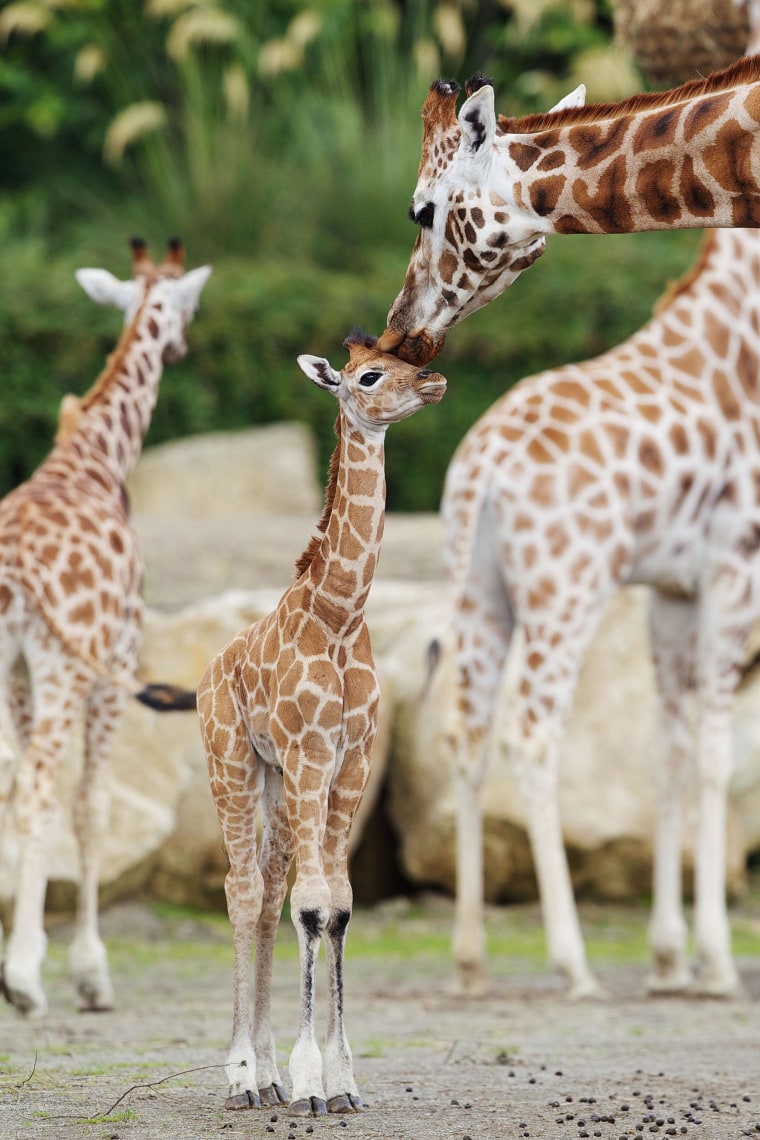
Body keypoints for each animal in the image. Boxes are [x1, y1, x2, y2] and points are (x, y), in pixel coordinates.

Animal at [0, 238, 209, 1016]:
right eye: (188, 304)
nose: (180, 346)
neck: (97, 460)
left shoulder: (24, 673)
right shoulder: (115, 665)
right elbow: (90, 805)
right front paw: (89, 973)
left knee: (20, 782)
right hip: (67, 669)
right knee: (39, 787)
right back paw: (24, 980)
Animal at [198, 332, 446, 1117]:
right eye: (367, 375)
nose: (431, 382)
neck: (340, 616)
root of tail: (208, 673)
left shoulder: (352, 760)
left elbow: (335, 906)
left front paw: (340, 1082)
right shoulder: (312, 752)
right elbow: (311, 906)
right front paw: (312, 1082)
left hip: (279, 781)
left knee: (266, 890)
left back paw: (267, 1073)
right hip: (233, 765)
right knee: (242, 889)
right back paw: (244, 1077)